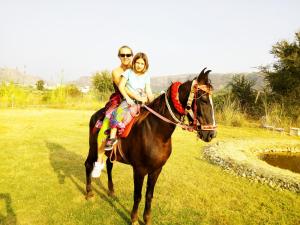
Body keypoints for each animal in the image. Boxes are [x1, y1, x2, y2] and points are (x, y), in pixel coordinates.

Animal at [84, 67, 216, 224]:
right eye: (203, 100)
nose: (211, 134)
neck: (155, 132)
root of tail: (96, 115)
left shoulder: (156, 169)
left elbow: (149, 195)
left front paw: (146, 219)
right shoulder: (139, 170)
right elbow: (138, 195)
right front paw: (134, 218)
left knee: (109, 166)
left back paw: (111, 191)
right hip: (93, 148)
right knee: (88, 164)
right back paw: (89, 193)